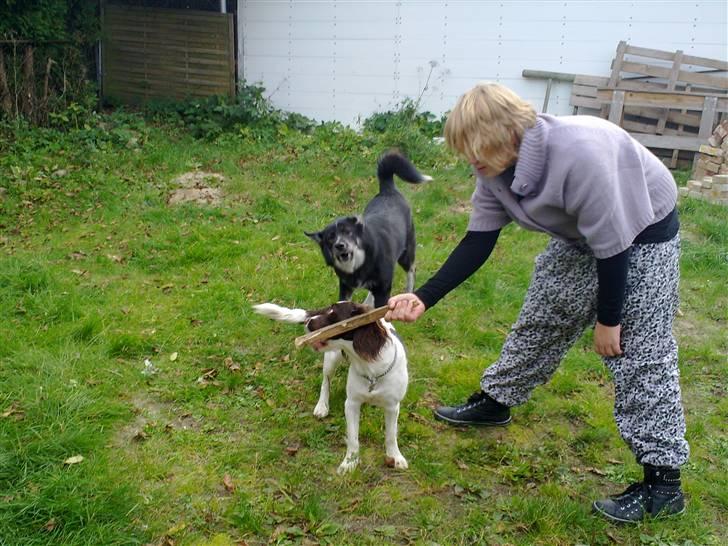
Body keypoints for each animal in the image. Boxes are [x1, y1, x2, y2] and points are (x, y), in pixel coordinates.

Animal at [253, 298, 406, 472]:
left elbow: (391, 435)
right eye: (328, 310)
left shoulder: (392, 406)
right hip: (331, 359)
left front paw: (395, 457)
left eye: (333, 314)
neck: (371, 370)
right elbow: (353, 437)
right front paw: (350, 462)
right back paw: (322, 406)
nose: (308, 321)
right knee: (325, 382)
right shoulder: (351, 403)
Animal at [308, 151, 432, 306]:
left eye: (348, 232)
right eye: (330, 238)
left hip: (406, 254)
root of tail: (387, 190)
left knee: (412, 270)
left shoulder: (383, 289)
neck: (360, 263)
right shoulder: (346, 287)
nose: (340, 245)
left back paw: (409, 291)